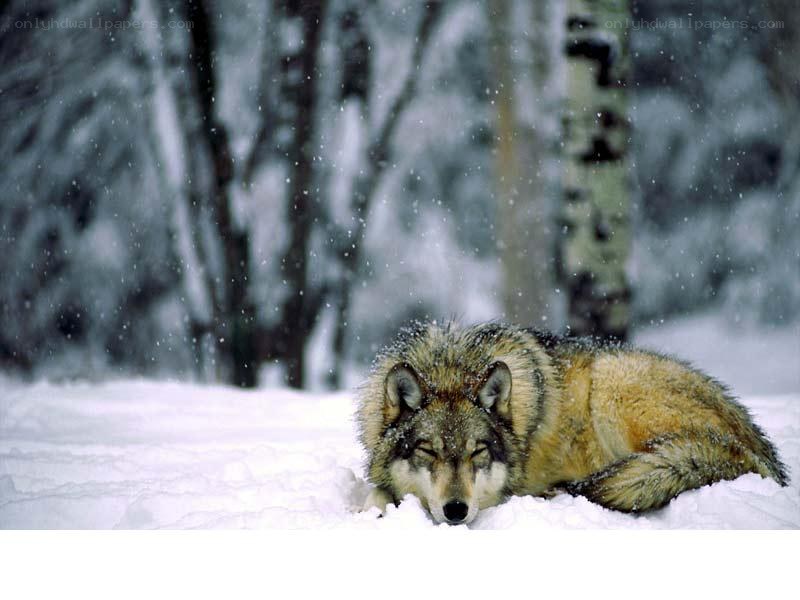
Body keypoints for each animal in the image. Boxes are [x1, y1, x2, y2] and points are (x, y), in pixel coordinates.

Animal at [356, 321, 787, 524]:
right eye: (428, 451)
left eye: (478, 452)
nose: (456, 510)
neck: (450, 368)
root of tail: (761, 453)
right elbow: (376, 491)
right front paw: (372, 511)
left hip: (612, 382)